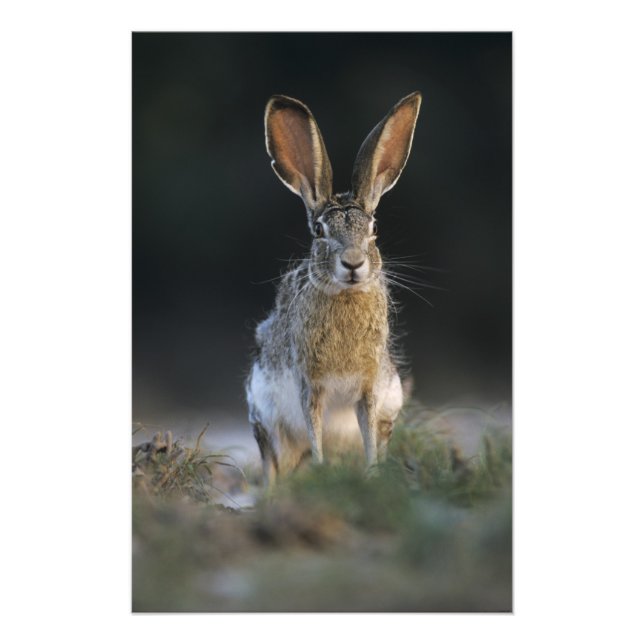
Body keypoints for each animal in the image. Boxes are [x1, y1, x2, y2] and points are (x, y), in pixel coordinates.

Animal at [246, 91, 422, 487]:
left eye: (374, 228)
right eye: (318, 231)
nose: (353, 263)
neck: (345, 295)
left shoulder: (371, 389)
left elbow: (368, 432)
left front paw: (372, 477)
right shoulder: (309, 385)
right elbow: (314, 431)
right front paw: (322, 471)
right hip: (264, 416)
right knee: (272, 463)